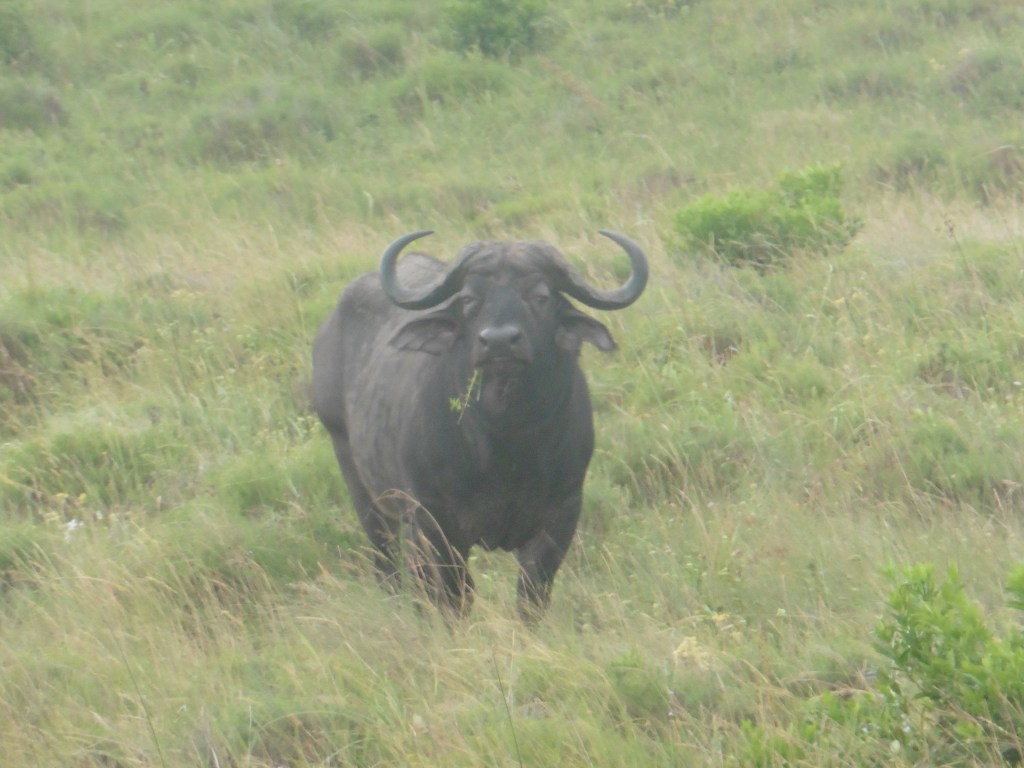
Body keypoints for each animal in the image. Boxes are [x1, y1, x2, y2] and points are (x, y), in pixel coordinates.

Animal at [312, 230, 647, 618]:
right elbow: (456, 594)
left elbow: (532, 594)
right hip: (363, 486)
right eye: (470, 299)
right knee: (388, 566)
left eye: (541, 296)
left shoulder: (562, 513)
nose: (499, 341)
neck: (507, 443)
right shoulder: (435, 519)